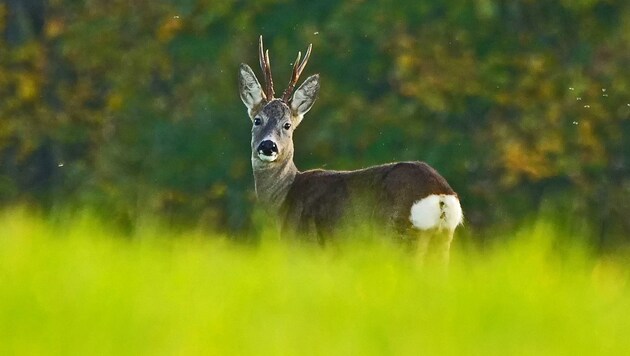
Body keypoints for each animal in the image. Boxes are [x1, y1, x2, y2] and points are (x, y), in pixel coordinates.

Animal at [238, 36, 464, 262]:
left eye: (287, 125)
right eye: (257, 120)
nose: (268, 145)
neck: (284, 199)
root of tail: (441, 196)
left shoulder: (305, 246)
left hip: (399, 235)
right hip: (441, 241)